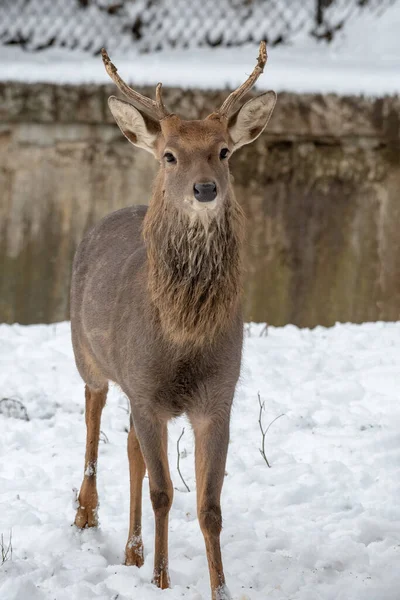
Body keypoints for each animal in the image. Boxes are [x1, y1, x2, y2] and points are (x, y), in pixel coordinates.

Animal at [72, 43, 276, 600]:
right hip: (86, 353)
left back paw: (131, 550)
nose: (204, 189)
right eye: (170, 155)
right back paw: (85, 514)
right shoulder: (145, 388)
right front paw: (162, 581)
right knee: (94, 417)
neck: (182, 338)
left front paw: (219, 588)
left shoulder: (217, 397)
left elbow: (209, 506)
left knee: (130, 449)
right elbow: (164, 492)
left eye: (223, 151)